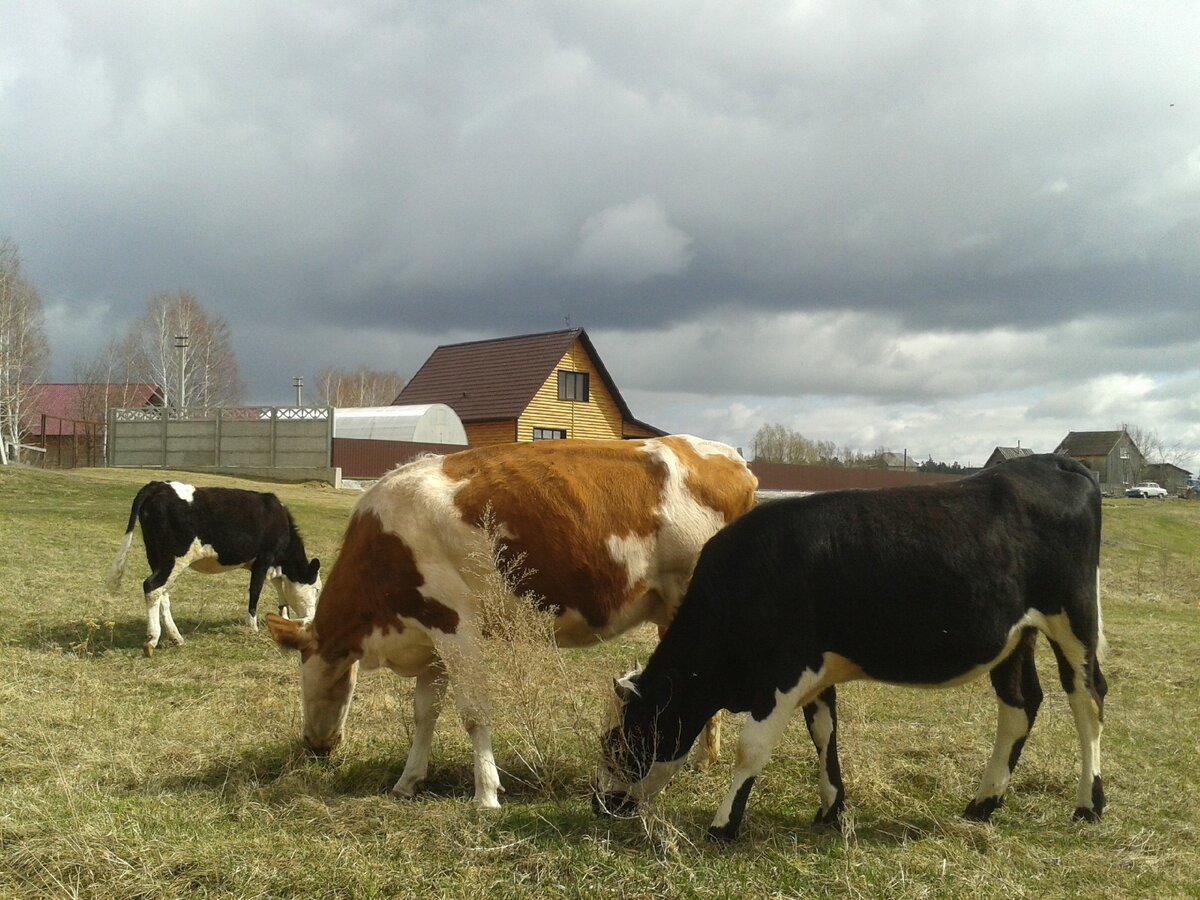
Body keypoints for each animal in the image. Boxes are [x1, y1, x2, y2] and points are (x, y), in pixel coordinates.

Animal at [106, 482, 321, 657]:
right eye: (317, 590)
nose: (312, 619)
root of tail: (158, 485)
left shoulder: (272, 565)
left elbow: (280, 593)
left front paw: (284, 619)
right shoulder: (263, 560)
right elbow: (255, 592)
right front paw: (253, 628)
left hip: (157, 558)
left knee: (162, 592)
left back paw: (176, 638)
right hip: (174, 558)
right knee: (152, 586)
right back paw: (152, 640)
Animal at [266, 436, 753, 811]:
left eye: (310, 682)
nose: (315, 746)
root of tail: (729, 457)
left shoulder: (455, 625)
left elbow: (473, 712)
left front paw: (486, 795)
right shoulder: (430, 635)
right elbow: (425, 711)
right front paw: (408, 780)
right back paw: (704, 760)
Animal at [595, 458, 1108, 844]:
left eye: (622, 739)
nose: (601, 804)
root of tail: (1052, 461)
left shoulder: (783, 674)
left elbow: (752, 748)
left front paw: (724, 824)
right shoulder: (817, 673)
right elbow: (823, 735)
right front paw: (830, 808)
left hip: (1074, 619)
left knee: (1088, 699)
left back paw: (1089, 804)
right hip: (1014, 638)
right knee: (1020, 705)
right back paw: (983, 803)